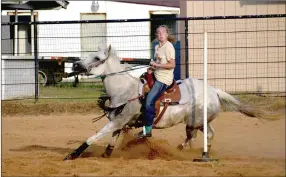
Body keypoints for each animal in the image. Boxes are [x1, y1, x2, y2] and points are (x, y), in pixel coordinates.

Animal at [63, 44, 270, 160]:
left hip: (194, 122)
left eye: (97, 58)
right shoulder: (120, 122)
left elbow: (94, 136)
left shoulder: (118, 121)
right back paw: (196, 151)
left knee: (196, 136)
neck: (124, 89)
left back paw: (184, 151)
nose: (75, 64)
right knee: (206, 135)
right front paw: (106, 154)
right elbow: (112, 140)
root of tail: (214, 90)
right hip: (199, 122)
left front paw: (72, 155)